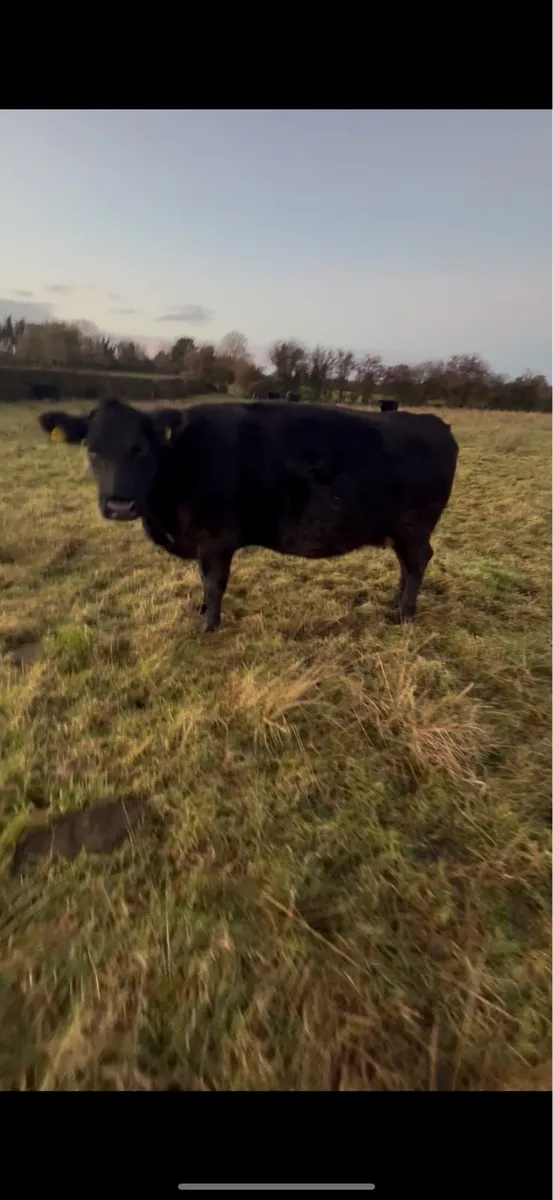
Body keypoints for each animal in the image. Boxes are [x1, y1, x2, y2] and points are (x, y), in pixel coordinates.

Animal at [38, 396, 458, 632]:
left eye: (141, 449)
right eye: (92, 449)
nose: (119, 504)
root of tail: (430, 421)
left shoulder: (216, 537)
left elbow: (214, 582)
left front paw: (209, 624)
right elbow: (203, 579)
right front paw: (202, 611)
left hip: (413, 526)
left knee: (417, 562)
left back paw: (404, 614)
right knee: (406, 566)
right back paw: (393, 604)